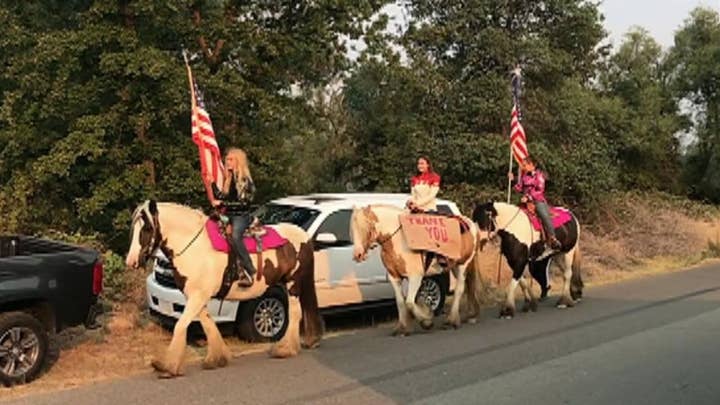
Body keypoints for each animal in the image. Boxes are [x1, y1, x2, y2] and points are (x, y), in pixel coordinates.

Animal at [125, 200, 322, 378]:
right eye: (133, 229)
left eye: (147, 229)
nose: (131, 261)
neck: (195, 247)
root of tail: (303, 235)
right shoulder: (196, 296)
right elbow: (207, 324)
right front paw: (217, 358)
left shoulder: (198, 296)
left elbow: (180, 325)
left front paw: (167, 366)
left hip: (293, 283)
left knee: (295, 313)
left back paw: (286, 349)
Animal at [348, 204, 484, 332]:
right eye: (352, 229)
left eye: (364, 227)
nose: (357, 255)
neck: (398, 240)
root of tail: (471, 224)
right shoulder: (394, 278)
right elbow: (400, 302)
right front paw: (402, 328)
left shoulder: (415, 277)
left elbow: (409, 302)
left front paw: (426, 321)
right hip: (455, 266)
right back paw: (468, 316)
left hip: (463, 265)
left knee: (460, 289)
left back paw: (451, 320)